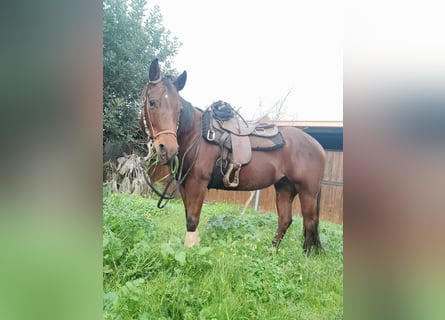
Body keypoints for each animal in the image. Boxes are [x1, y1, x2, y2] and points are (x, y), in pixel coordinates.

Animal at [140, 58, 326, 255]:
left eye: (179, 109)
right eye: (152, 103)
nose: (168, 148)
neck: (195, 134)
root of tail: (319, 147)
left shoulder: (198, 183)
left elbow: (192, 220)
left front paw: (192, 252)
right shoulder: (183, 184)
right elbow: (188, 217)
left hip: (307, 191)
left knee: (309, 222)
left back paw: (305, 256)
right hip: (285, 188)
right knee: (286, 220)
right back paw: (272, 252)